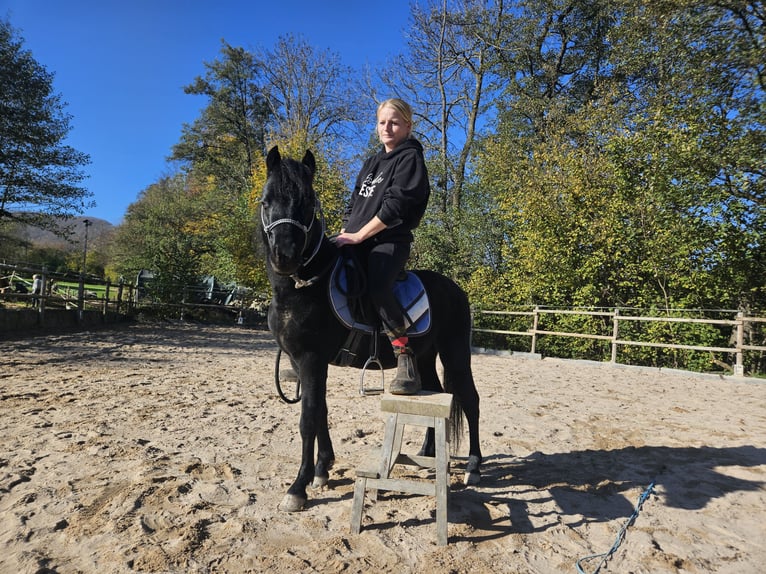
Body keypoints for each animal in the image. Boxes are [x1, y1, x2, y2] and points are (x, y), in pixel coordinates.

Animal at [260, 147, 484, 512]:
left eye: (307, 203)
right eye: (266, 201)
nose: (285, 255)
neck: (305, 285)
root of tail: (455, 289)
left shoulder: (311, 359)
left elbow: (307, 418)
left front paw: (298, 487)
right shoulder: (301, 361)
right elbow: (320, 411)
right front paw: (322, 470)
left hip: (456, 353)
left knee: (471, 400)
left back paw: (475, 467)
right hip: (424, 357)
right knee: (432, 391)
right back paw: (426, 453)